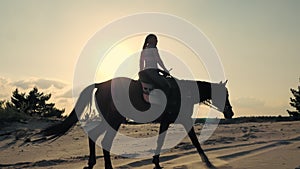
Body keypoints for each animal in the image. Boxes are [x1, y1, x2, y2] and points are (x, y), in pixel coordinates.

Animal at [36, 72, 234, 168]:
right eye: (225, 95)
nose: (230, 113)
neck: (184, 92)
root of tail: (100, 85)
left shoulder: (169, 122)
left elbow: (163, 141)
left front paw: (156, 161)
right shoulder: (181, 121)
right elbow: (194, 141)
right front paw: (207, 161)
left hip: (110, 119)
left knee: (95, 135)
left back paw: (92, 163)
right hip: (114, 120)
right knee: (105, 140)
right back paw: (107, 167)